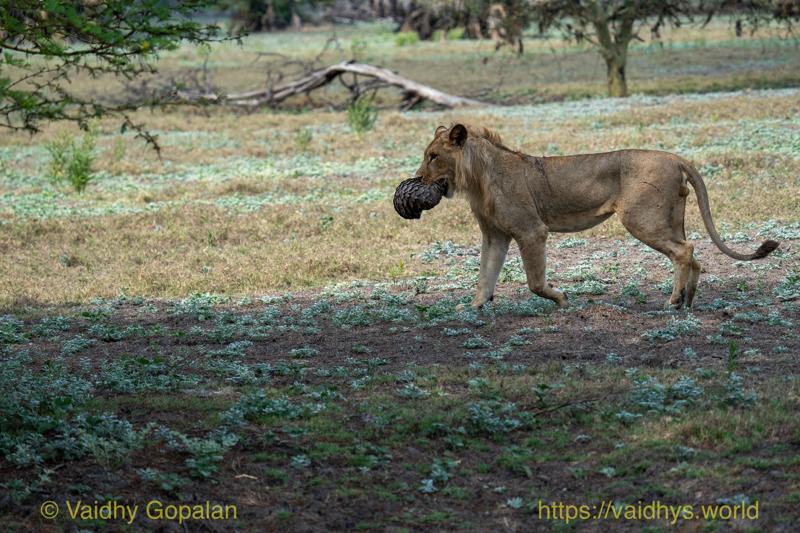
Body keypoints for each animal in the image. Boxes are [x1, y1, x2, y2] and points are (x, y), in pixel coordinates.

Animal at [410, 123, 779, 309]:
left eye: (432, 156)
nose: (418, 177)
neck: (477, 180)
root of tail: (675, 158)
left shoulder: (532, 231)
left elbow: (534, 282)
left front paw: (562, 299)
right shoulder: (495, 236)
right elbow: (485, 275)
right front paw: (471, 307)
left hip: (641, 219)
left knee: (684, 251)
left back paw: (673, 300)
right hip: (671, 219)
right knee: (693, 254)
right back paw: (688, 300)